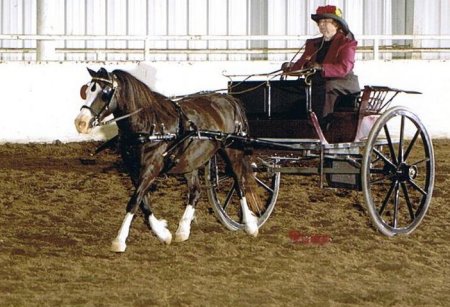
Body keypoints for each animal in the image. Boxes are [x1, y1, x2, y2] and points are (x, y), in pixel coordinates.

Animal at [74, 67, 260, 253]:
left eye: (105, 92)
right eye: (87, 90)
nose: (80, 123)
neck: (149, 126)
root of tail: (228, 99)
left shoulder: (151, 168)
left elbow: (134, 201)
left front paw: (120, 240)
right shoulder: (134, 170)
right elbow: (143, 201)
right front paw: (162, 232)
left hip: (232, 151)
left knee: (239, 182)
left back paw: (250, 224)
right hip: (190, 161)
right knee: (196, 191)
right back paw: (183, 229)